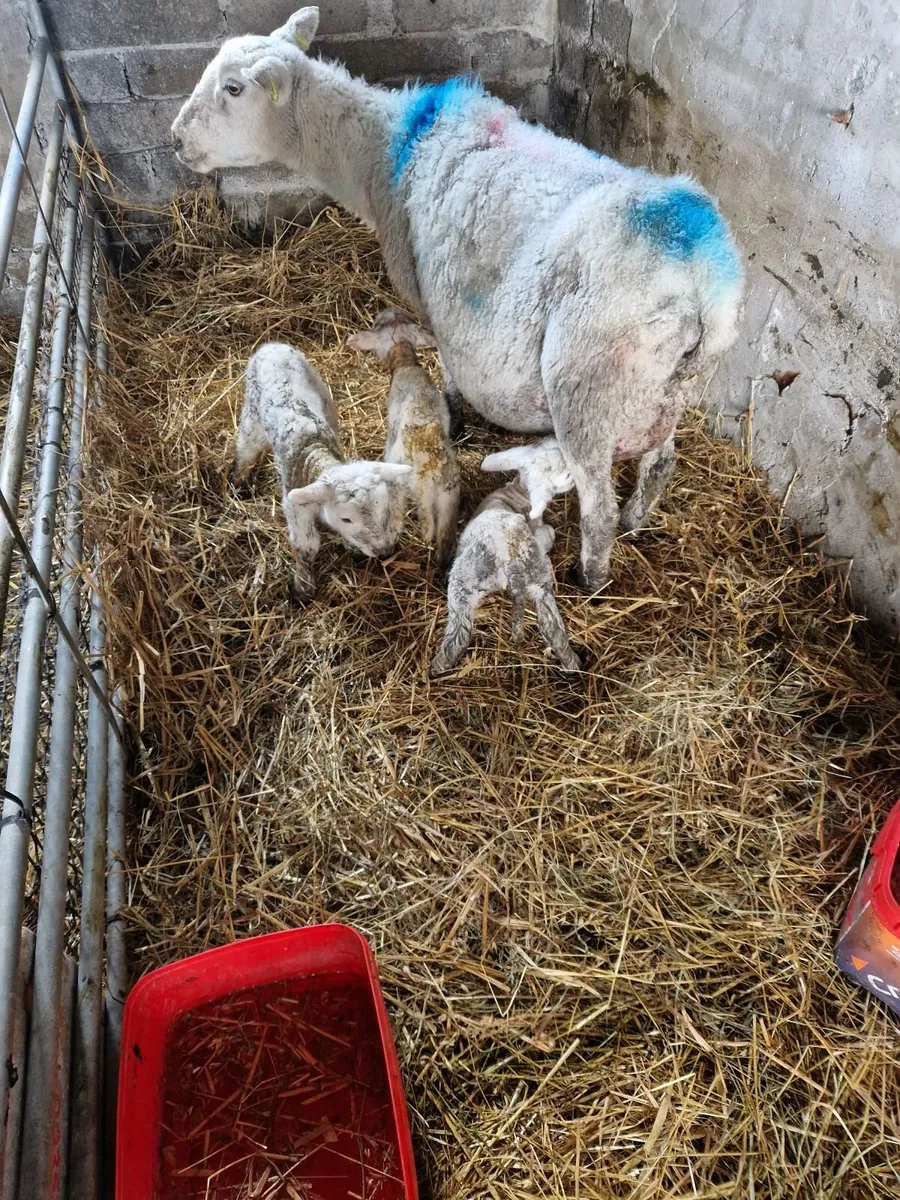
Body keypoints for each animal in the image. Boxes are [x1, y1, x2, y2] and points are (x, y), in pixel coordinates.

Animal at [233, 341, 412, 598]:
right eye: (346, 518)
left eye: (384, 508)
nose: (384, 550)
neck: (313, 450)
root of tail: (272, 346)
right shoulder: (295, 508)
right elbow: (305, 545)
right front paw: (303, 589)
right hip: (252, 413)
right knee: (246, 446)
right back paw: (239, 482)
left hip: (324, 397)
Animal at [348, 309, 460, 566]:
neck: (406, 363)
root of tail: (433, 467)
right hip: (449, 500)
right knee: (444, 539)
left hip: (409, 487)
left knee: (409, 518)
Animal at [430, 481, 581, 676]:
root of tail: (512, 559)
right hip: (541, 580)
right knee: (552, 626)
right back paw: (572, 664)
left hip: (464, 580)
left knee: (459, 635)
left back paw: (437, 666)